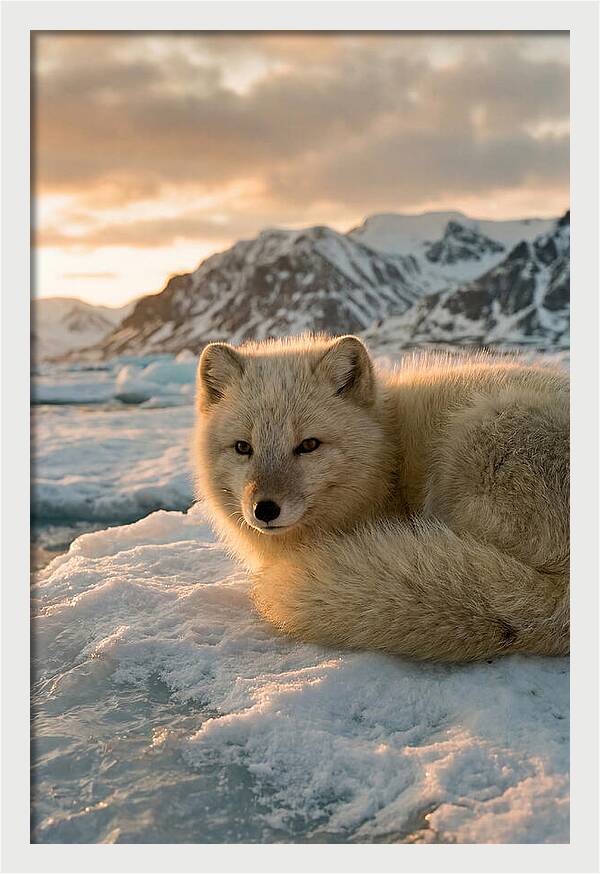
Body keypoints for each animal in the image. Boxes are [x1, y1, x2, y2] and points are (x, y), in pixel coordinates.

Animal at [192, 334, 569, 662]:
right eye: (243, 447)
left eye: (309, 445)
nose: (265, 510)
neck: (388, 455)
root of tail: (559, 599)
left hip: (476, 436)